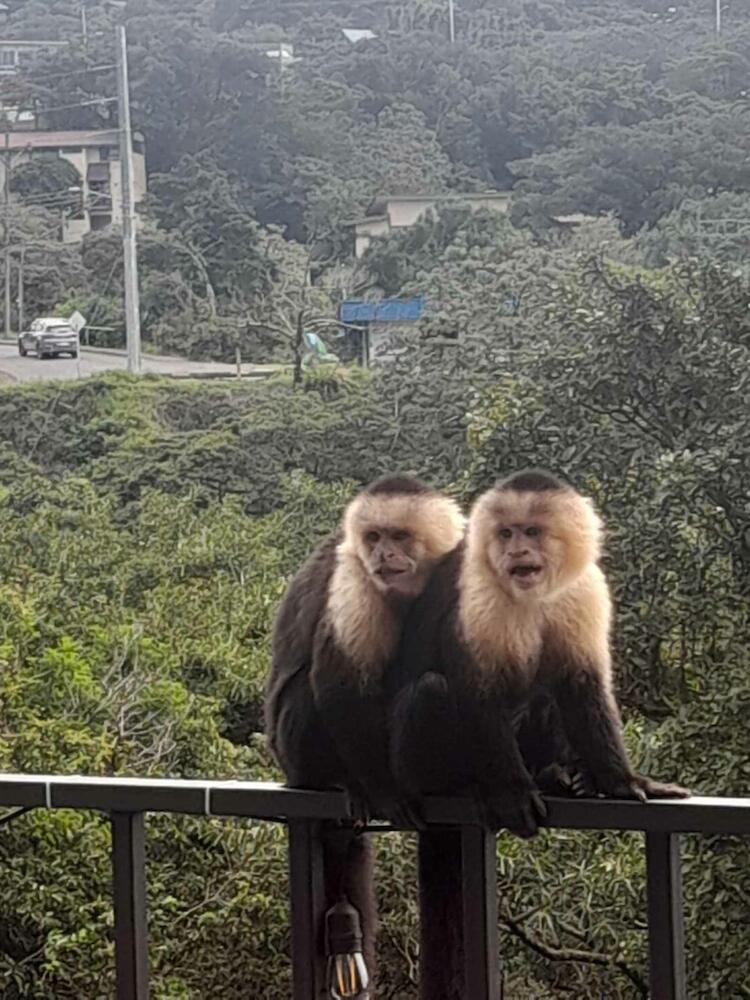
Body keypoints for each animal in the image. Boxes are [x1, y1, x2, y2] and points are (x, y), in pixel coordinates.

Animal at [264, 474, 465, 994]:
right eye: (373, 538)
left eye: (399, 537)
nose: (383, 556)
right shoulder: (354, 578)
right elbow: (338, 684)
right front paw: (385, 791)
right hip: (292, 748)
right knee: (314, 688)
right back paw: (339, 782)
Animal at [387, 469, 688, 1000]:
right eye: (505, 533)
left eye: (530, 531)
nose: (515, 552)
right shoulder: (478, 592)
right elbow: (476, 693)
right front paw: (512, 792)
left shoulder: (586, 587)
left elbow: (582, 683)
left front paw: (623, 781)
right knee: (432, 690)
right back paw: (467, 785)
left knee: (547, 691)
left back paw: (559, 774)